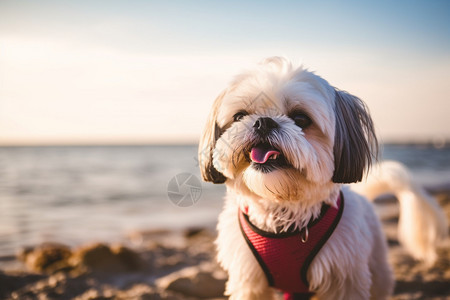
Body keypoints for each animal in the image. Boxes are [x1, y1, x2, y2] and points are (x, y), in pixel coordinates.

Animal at [197, 57, 446, 298]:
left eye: (301, 118)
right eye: (240, 116)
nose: (263, 121)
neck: (283, 210)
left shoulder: (344, 278)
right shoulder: (249, 281)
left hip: (377, 271)